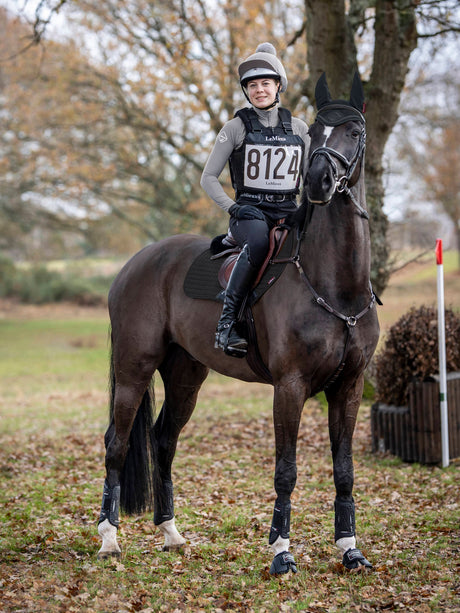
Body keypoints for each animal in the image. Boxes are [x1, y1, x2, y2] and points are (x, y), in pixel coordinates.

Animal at [96, 73, 378, 572]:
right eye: (315, 132)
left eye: (354, 130)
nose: (319, 180)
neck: (337, 285)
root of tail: (134, 264)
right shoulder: (290, 386)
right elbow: (286, 471)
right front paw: (281, 552)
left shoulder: (350, 385)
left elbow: (344, 470)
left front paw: (350, 549)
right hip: (134, 369)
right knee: (118, 441)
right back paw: (109, 538)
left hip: (186, 374)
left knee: (163, 440)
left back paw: (171, 533)